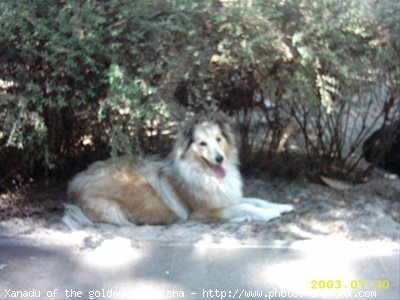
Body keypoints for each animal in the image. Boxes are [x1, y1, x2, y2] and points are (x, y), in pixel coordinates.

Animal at [63, 112, 294, 227]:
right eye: (202, 144)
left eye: (218, 139)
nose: (219, 159)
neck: (204, 174)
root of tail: (73, 184)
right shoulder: (204, 210)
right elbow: (247, 207)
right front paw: (268, 214)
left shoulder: (226, 197)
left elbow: (256, 200)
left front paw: (282, 206)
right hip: (114, 210)